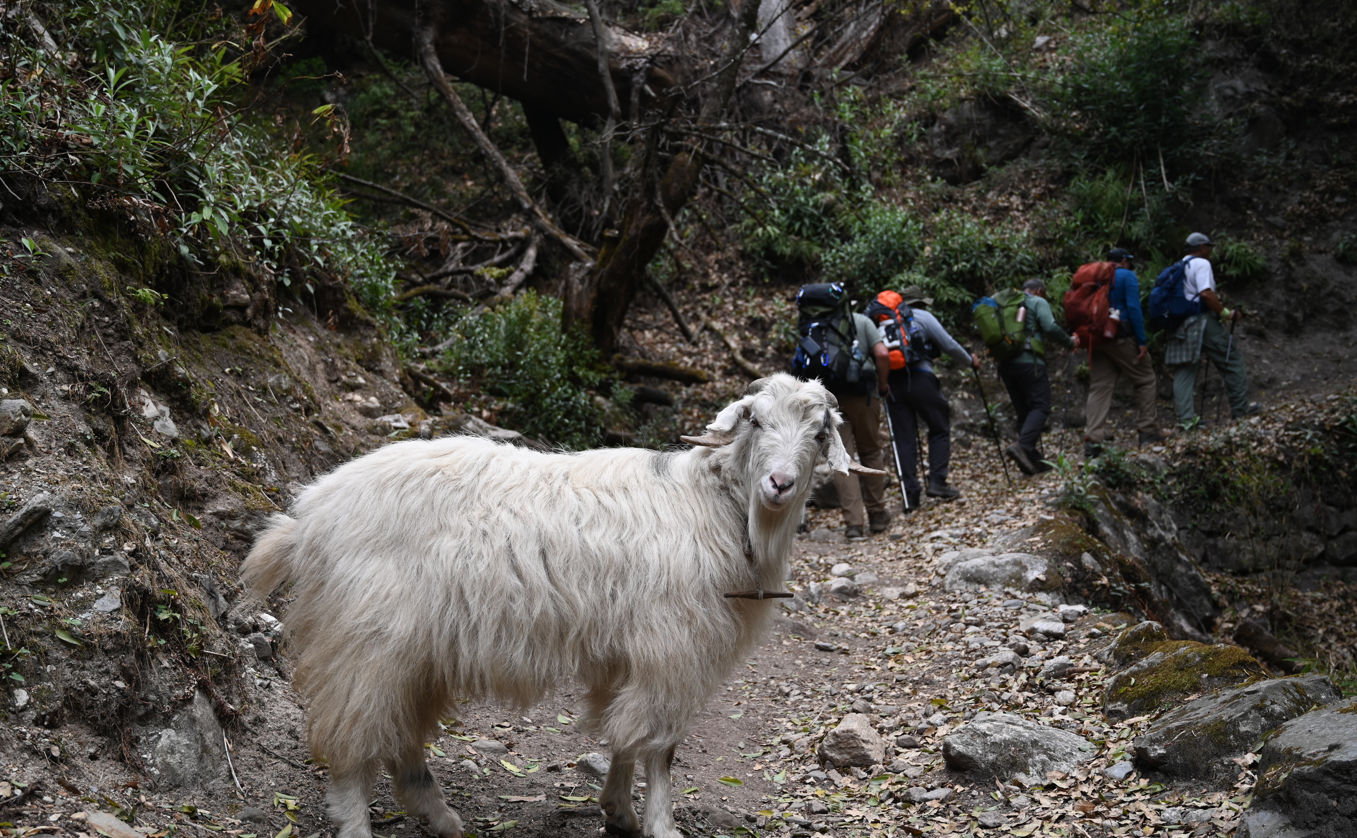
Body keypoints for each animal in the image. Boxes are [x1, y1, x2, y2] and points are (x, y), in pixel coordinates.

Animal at [242, 374, 879, 835]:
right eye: (757, 420)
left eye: (819, 434)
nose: (779, 484)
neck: (711, 503)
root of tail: (307, 517)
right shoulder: (673, 645)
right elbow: (661, 745)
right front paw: (660, 824)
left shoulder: (632, 650)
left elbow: (624, 733)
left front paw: (618, 811)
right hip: (365, 639)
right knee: (354, 737)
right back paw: (359, 823)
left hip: (412, 651)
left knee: (398, 734)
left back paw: (442, 817)